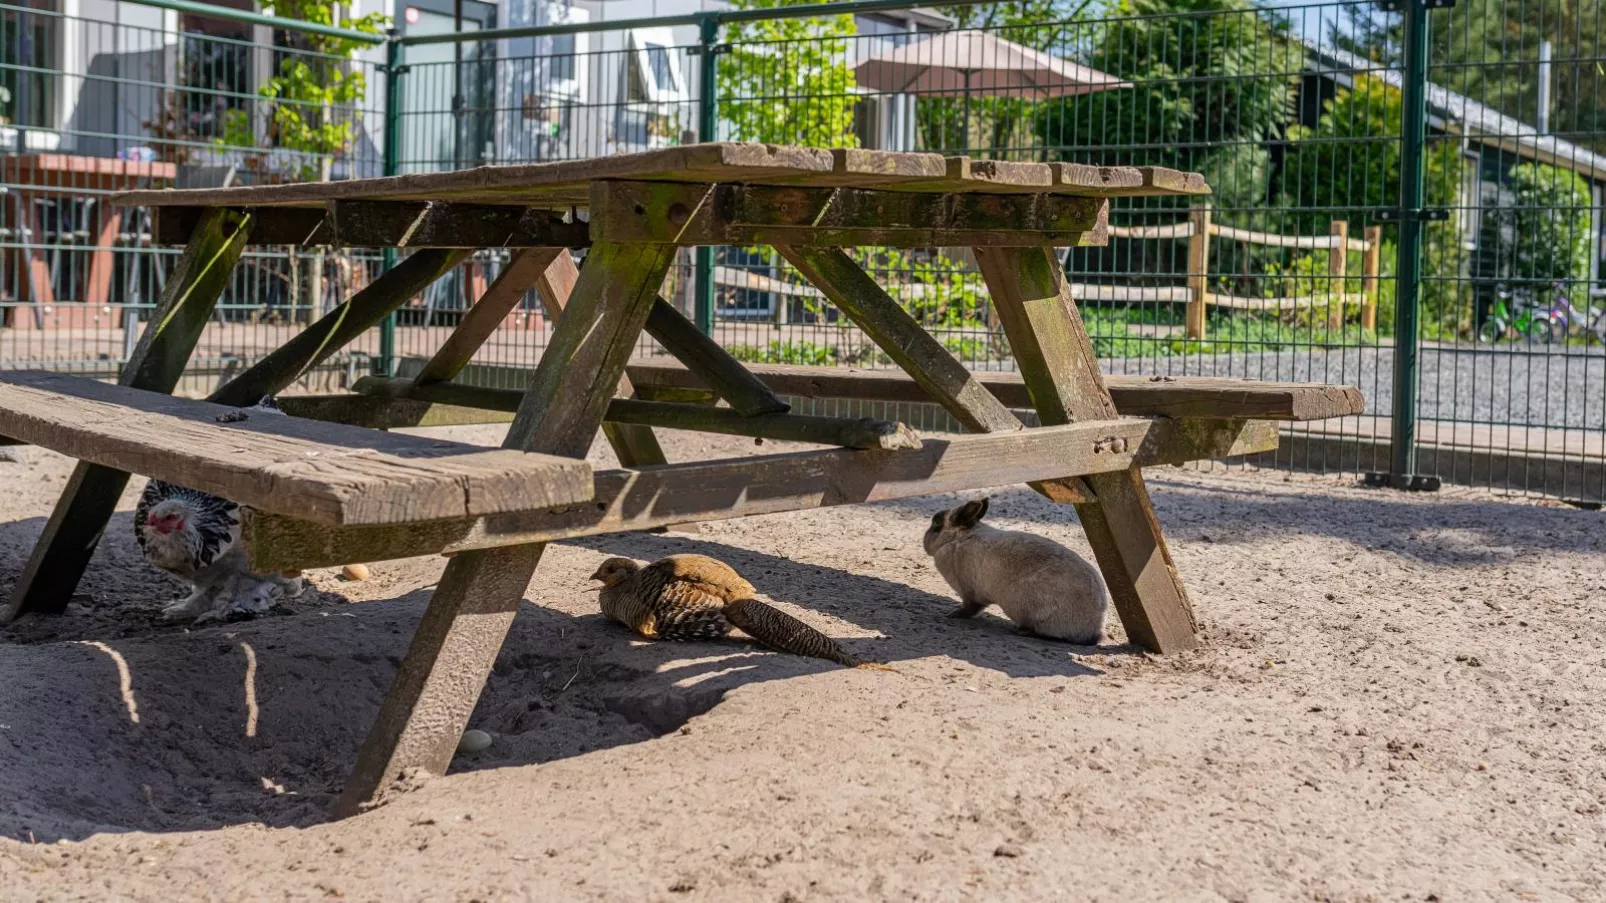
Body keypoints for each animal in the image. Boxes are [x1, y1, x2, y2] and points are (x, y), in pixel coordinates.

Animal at [925, 498, 1111, 639]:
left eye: (937, 525)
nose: (924, 542)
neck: (956, 539)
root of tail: (1096, 626)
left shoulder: (969, 592)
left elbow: (971, 607)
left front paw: (952, 614)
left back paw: (1022, 631)